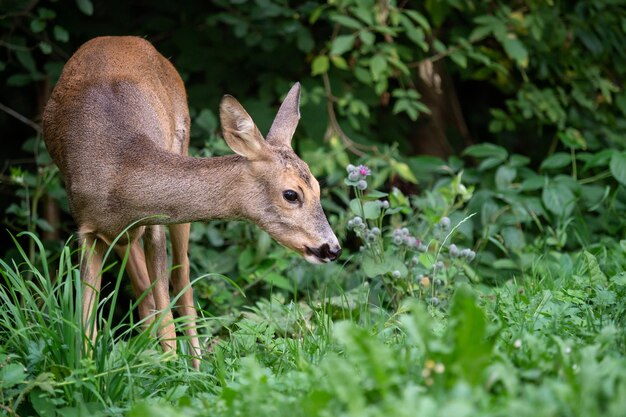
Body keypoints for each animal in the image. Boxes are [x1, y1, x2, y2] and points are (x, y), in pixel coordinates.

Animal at [42, 35, 342, 368]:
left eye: (318, 186)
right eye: (291, 194)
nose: (332, 248)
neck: (118, 169)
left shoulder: (154, 221)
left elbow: (166, 312)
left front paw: (172, 368)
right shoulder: (86, 227)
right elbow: (86, 319)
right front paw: (87, 368)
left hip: (180, 150)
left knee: (181, 276)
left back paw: (196, 364)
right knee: (146, 287)